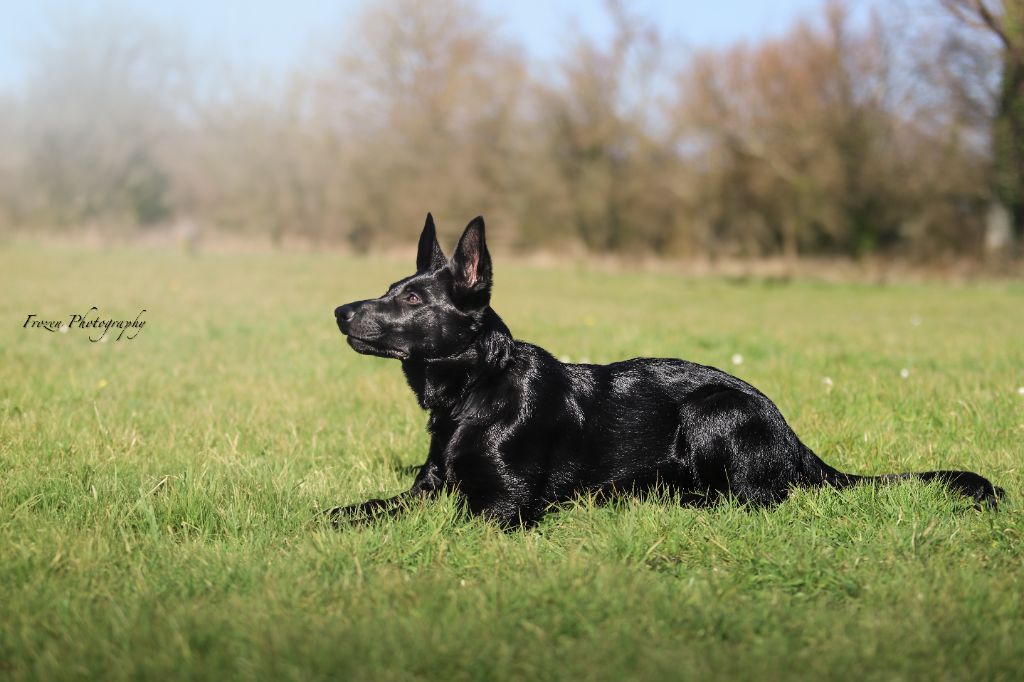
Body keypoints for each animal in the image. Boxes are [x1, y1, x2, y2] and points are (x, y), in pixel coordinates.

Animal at [329, 214, 1003, 528]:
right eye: (391, 289)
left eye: (414, 299)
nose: (339, 310)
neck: (473, 396)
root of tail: (796, 442)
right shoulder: (426, 488)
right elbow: (364, 509)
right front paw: (329, 521)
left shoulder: (506, 507)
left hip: (713, 413)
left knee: (757, 500)